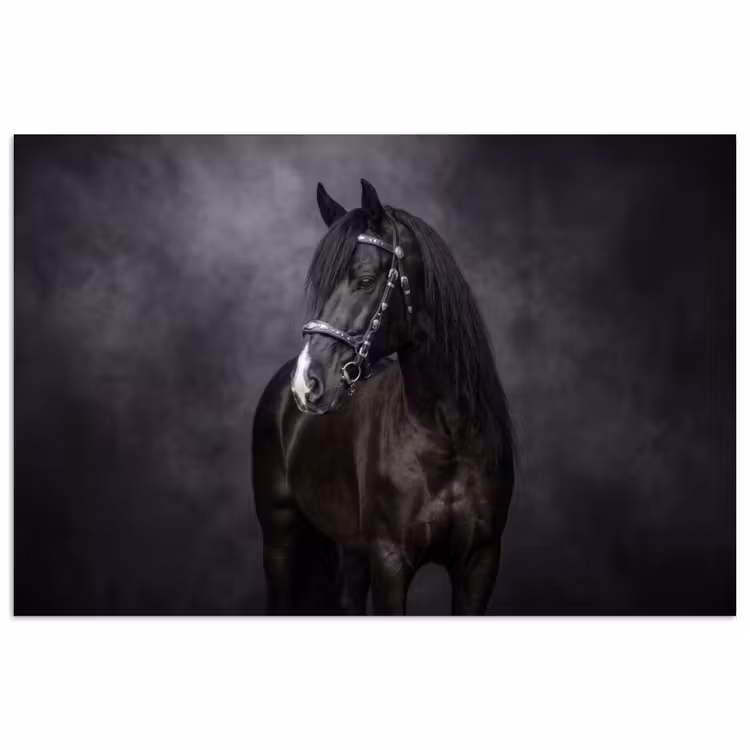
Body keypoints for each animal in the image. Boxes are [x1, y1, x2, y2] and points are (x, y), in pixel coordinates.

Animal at [252, 179, 514, 615]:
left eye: (365, 279)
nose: (307, 382)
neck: (447, 435)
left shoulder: (480, 562)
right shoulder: (390, 560)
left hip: (353, 548)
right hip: (280, 539)